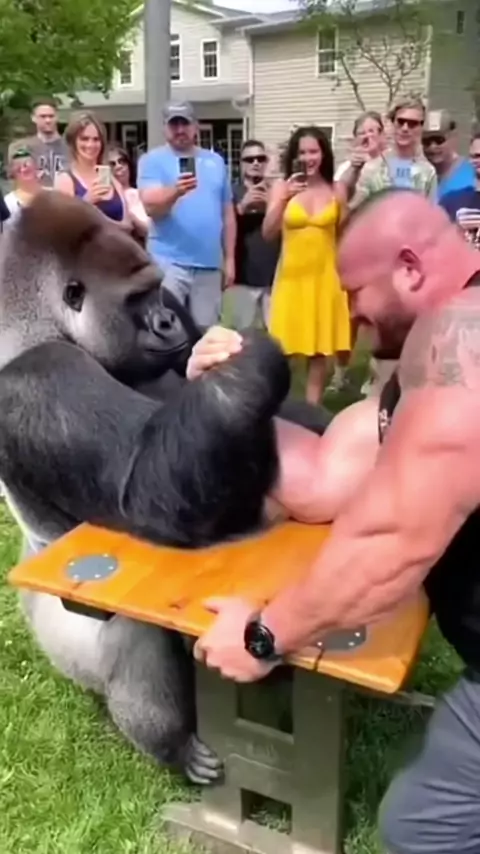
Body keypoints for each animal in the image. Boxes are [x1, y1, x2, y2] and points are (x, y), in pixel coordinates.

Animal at [0, 191, 332, 785]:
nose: (164, 319)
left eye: (158, 290)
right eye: (135, 299)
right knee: (137, 629)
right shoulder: (43, 376)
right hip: (67, 649)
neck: (38, 327)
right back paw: (171, 743)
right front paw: (250, 363)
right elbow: (147, 495)